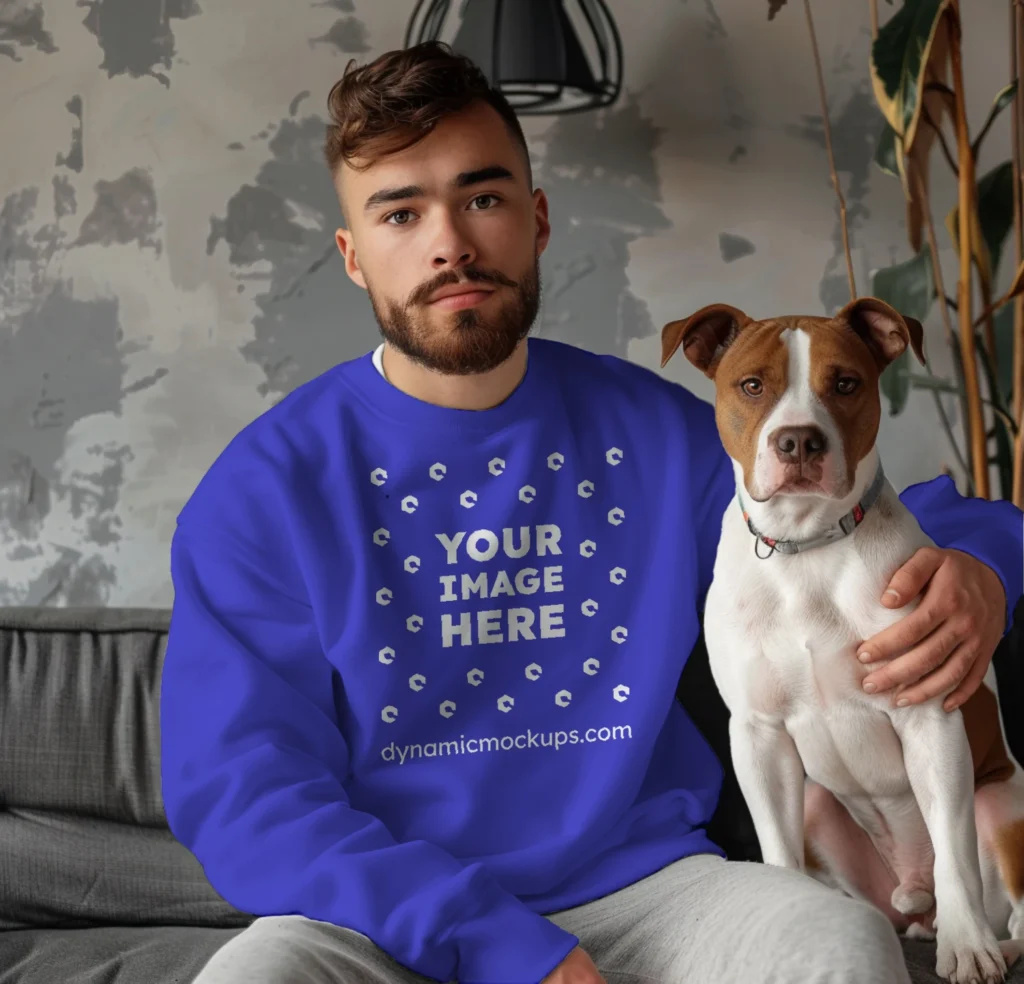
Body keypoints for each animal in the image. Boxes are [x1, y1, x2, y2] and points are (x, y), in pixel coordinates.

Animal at [659, 294, 1024, 978]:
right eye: (752, 385)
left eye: (846, 384)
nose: (798, 439)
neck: (806, 547)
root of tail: (913, 898)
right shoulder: (758, 734)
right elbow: (777, 852)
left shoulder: (929, 716)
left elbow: (953, 849)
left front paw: (967, 949)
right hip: (818, 806)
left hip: (1003, 806)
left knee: (1005, 902)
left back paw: (987, 940)